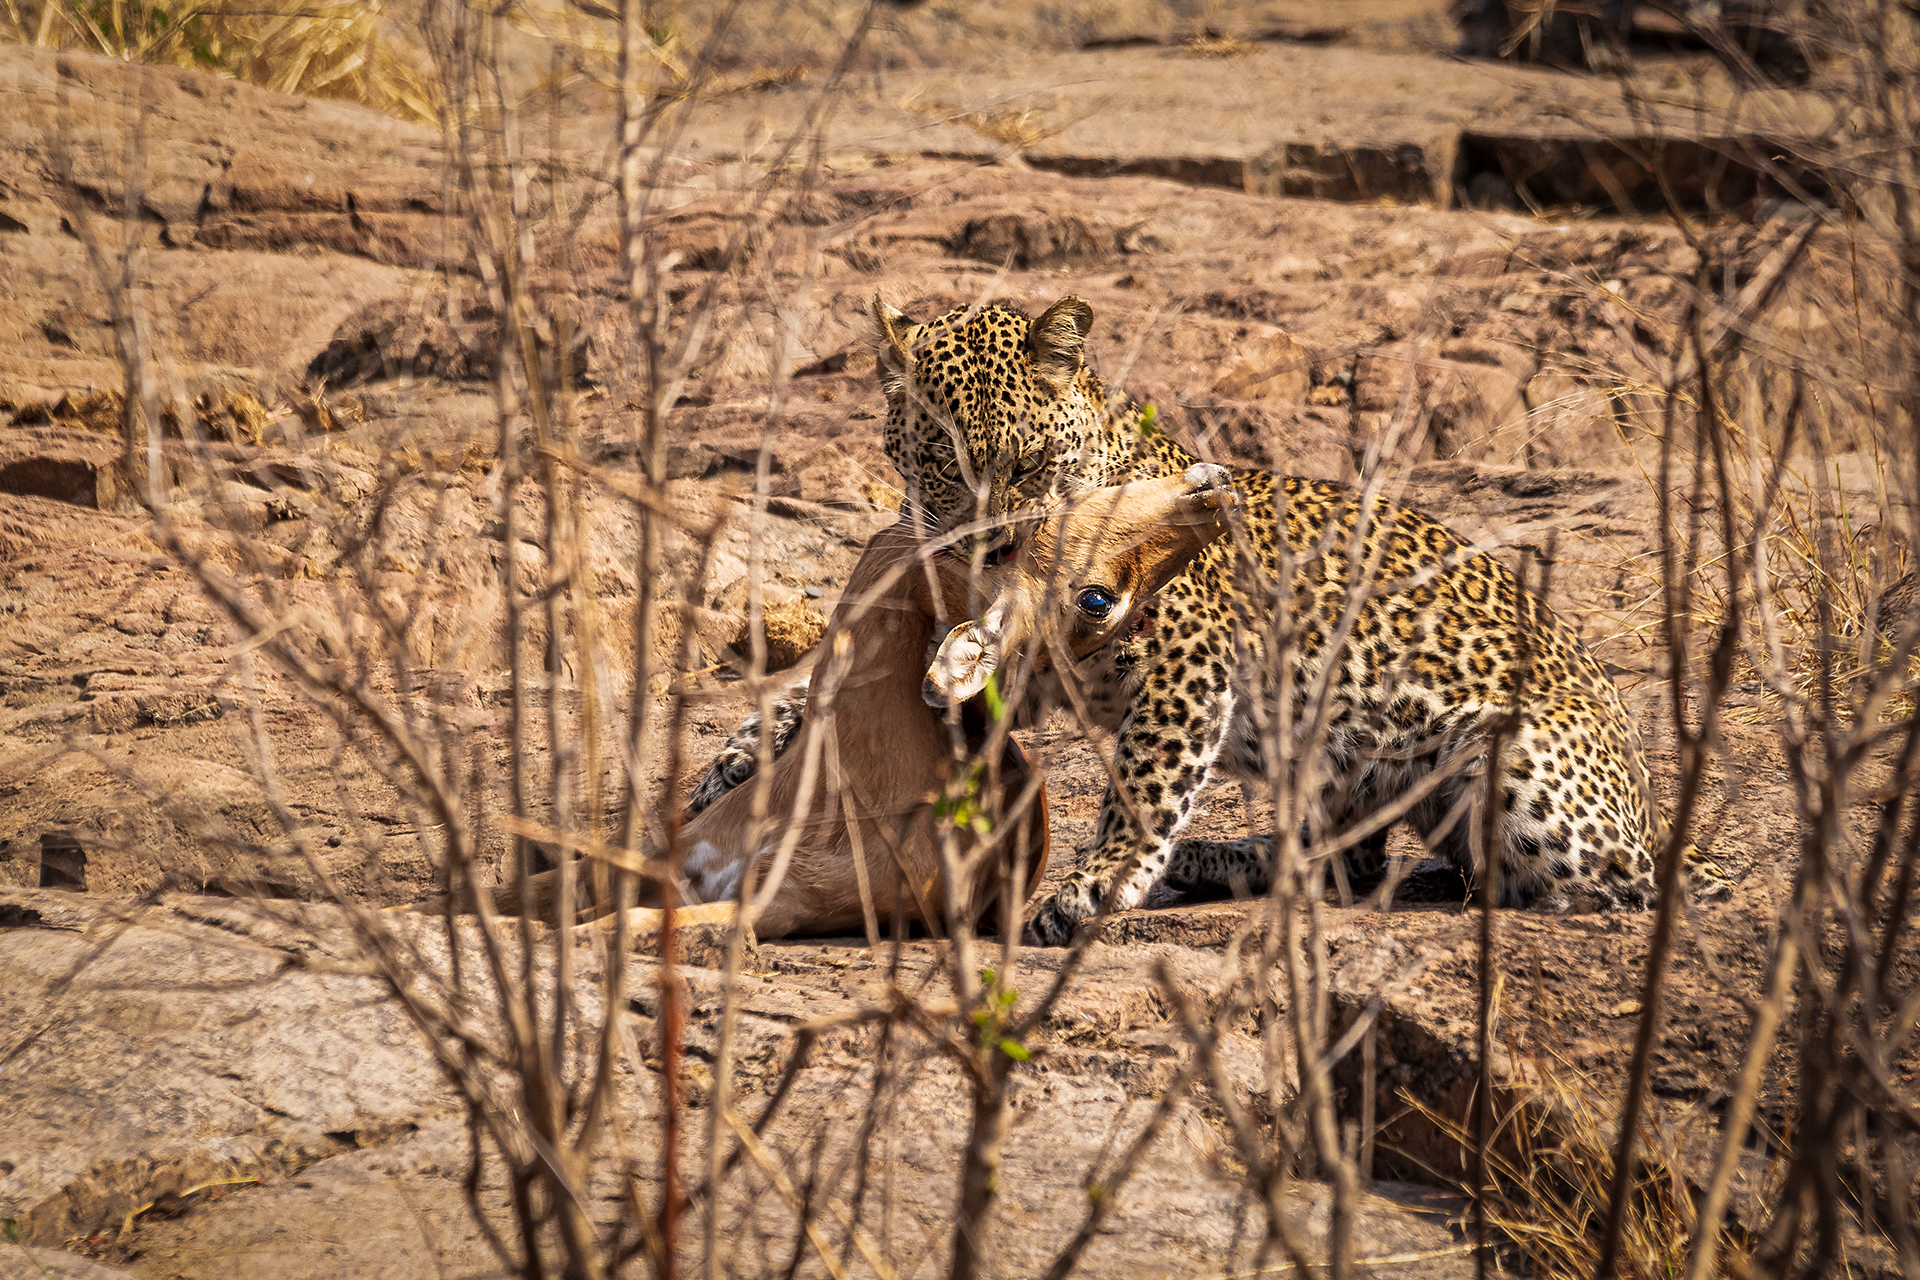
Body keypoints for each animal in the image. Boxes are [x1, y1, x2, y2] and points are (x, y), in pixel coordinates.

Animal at [691, 293, 1696, 944]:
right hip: (1343, 773)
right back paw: (1205, 863)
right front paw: (734, 760)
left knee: (1598, 888)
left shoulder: (1185, 658)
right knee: (1344, 863)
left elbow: (1142, 779)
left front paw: (1096, 883)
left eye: (1025, 462)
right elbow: (818, 695)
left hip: (1522, 778)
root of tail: (1647, 806)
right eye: (939, 458)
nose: (992, 543)